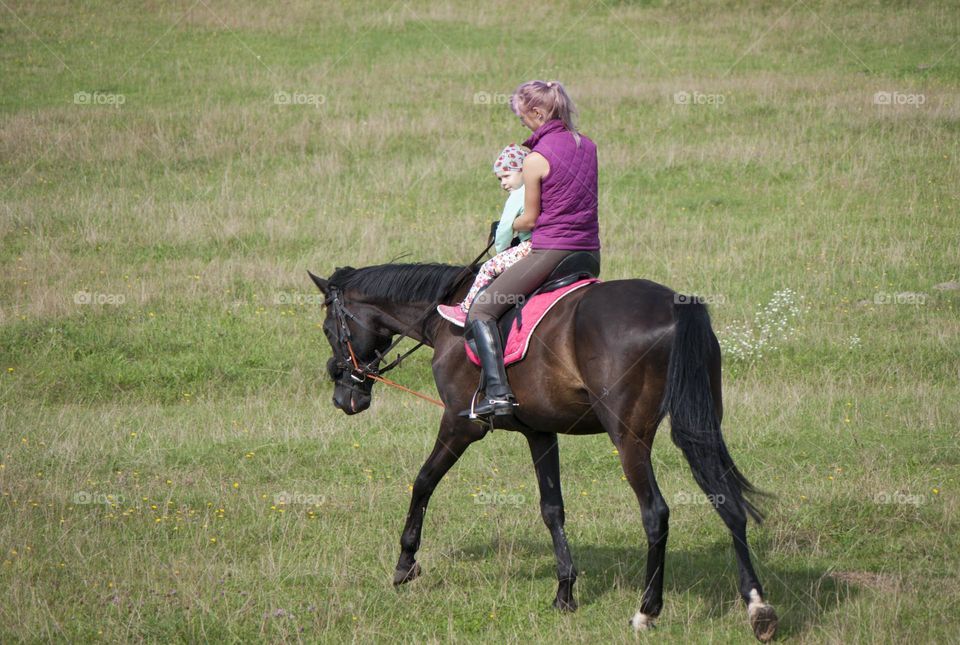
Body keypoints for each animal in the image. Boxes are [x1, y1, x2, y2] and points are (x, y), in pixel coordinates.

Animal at [308, 260, 780, 640]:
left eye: (330, 330)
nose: (343, 397)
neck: (449, 319)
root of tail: (675, 305)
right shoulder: (540, 432)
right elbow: (552, 508)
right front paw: (565, 592)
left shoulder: (460, 424)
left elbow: (423, 482)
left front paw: (405, 564)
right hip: (701, 424)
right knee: (727, 500)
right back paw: (758, 607)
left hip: (629, 436)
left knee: (656, 513)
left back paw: (646, 613)